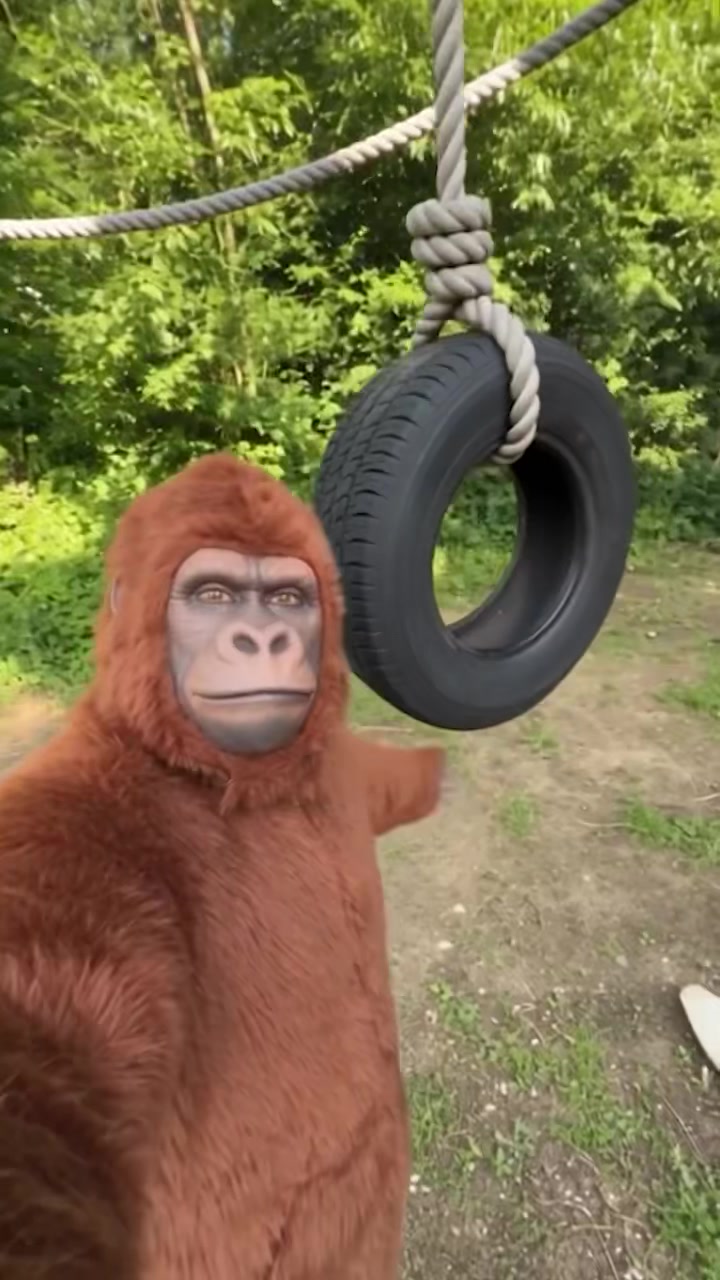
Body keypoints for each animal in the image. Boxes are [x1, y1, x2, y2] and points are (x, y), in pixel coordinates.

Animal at [0, 452, 445, 1279]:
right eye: (212, 595)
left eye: (288, 598)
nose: (262, 637)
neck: (226, 779)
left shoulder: (340, 774)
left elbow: (399, 780)